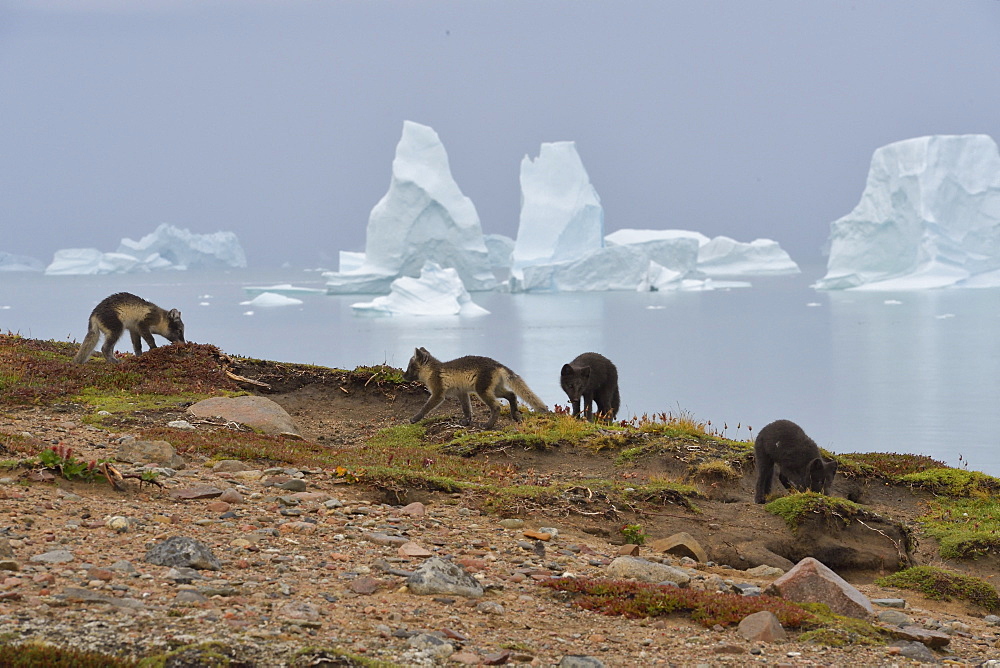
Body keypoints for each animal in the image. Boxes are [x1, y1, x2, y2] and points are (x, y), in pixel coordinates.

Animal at [402, 348, 552, 430]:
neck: (432, 371)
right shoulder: (461, 392)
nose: (403, 376)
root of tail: (498, 364)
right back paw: (515, 416)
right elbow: (466, 409)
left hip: (482, 390)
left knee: (497, 406)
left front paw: (415, 418)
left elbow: (425, 407)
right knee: (512, 395)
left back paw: (487, 425)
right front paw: (466, 421)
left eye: (410, 367)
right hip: (495, 389)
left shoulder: (438, 393)